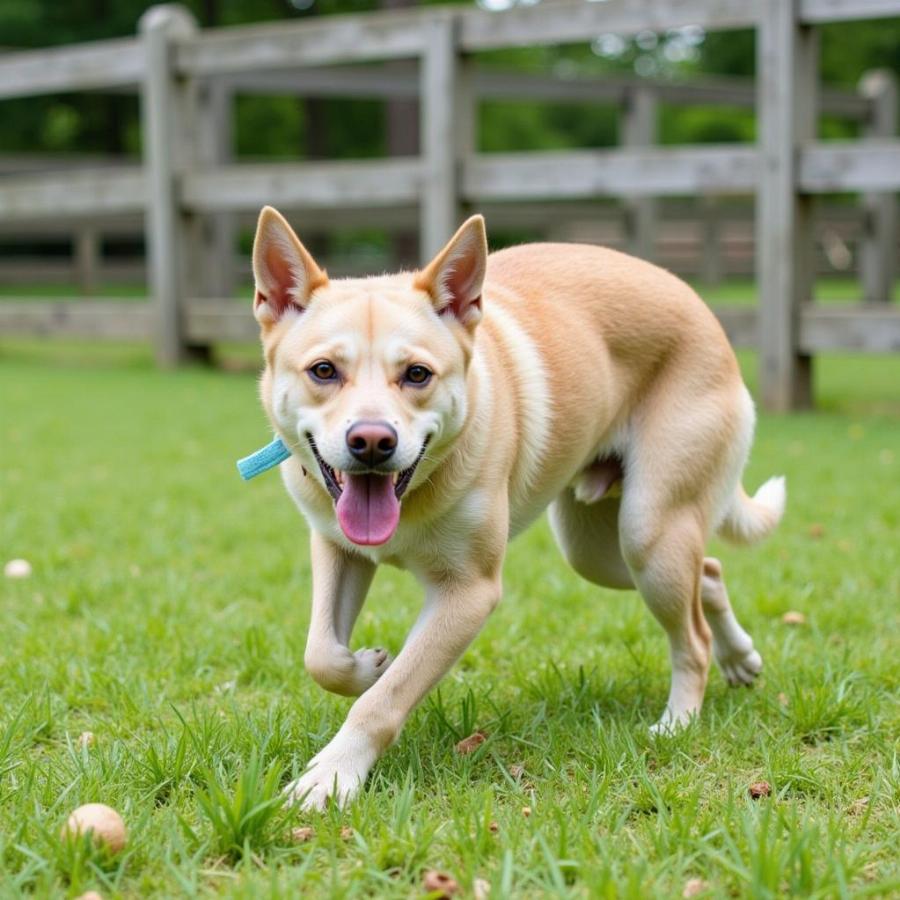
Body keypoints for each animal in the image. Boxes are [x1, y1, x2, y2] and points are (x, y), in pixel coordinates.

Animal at [250, 207, 784, 812]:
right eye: (323, 371)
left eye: (417, 374)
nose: (371, 442)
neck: (414, 497)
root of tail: (704, 310)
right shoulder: (338, 549)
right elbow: (322, 656)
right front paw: (365, 666)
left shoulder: (469, 594)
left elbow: (384, 700)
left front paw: (333, 775)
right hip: (596, 549)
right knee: (709, 572)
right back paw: (739, 656)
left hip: (649, 533)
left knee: (691, 635)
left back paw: (679, 721)